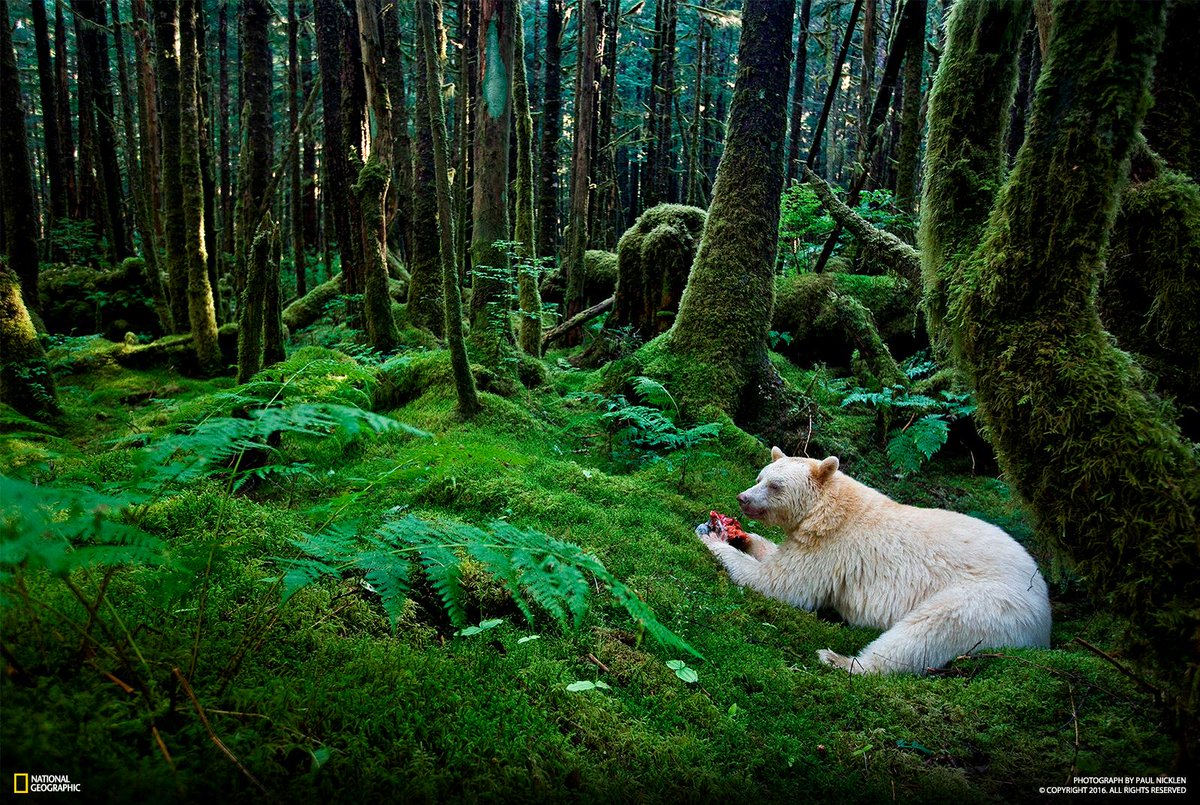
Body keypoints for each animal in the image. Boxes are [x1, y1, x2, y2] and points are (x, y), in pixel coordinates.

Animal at [696, 447, 1052, 674]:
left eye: (774, 485)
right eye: (759, 476)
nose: (743, 498)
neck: (828, 507)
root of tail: (1045, 616)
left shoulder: (832, 548)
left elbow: (783, 584)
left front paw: (713, 538)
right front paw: (740, 535)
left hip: (990, 603)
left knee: (929, 631)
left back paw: (840, 660)